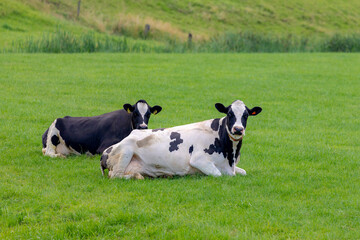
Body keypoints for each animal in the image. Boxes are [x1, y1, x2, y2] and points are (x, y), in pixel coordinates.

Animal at [101, 99, 262, 178]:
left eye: (246, 115)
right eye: (229, 114)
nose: (238, 129)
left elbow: (243, 172)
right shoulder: (199, 160)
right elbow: (218, 174)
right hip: (125, 152)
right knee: (115, 175)